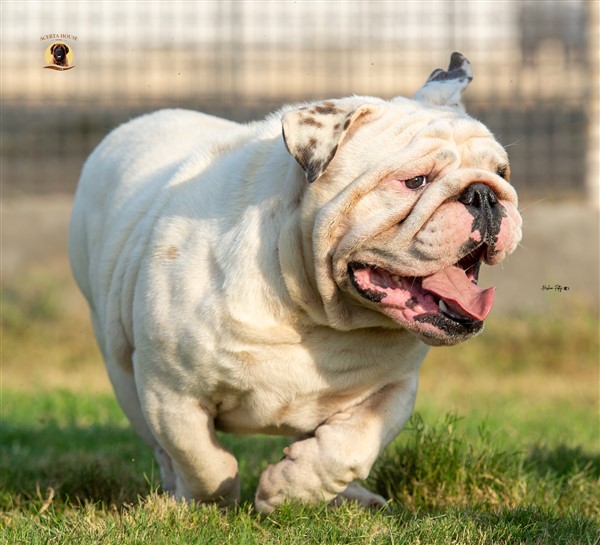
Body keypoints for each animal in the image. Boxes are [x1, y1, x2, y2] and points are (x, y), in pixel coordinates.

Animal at [69, 52, 522, 513]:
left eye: (501, 172)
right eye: (415, 181)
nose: (484, 194)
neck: (310, 306)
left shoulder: (393, 389)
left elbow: (350, 446)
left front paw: (287, 490)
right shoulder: (171, 390)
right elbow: (202, 459)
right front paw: (208, 502)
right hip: (121, 369)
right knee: (162, 447)